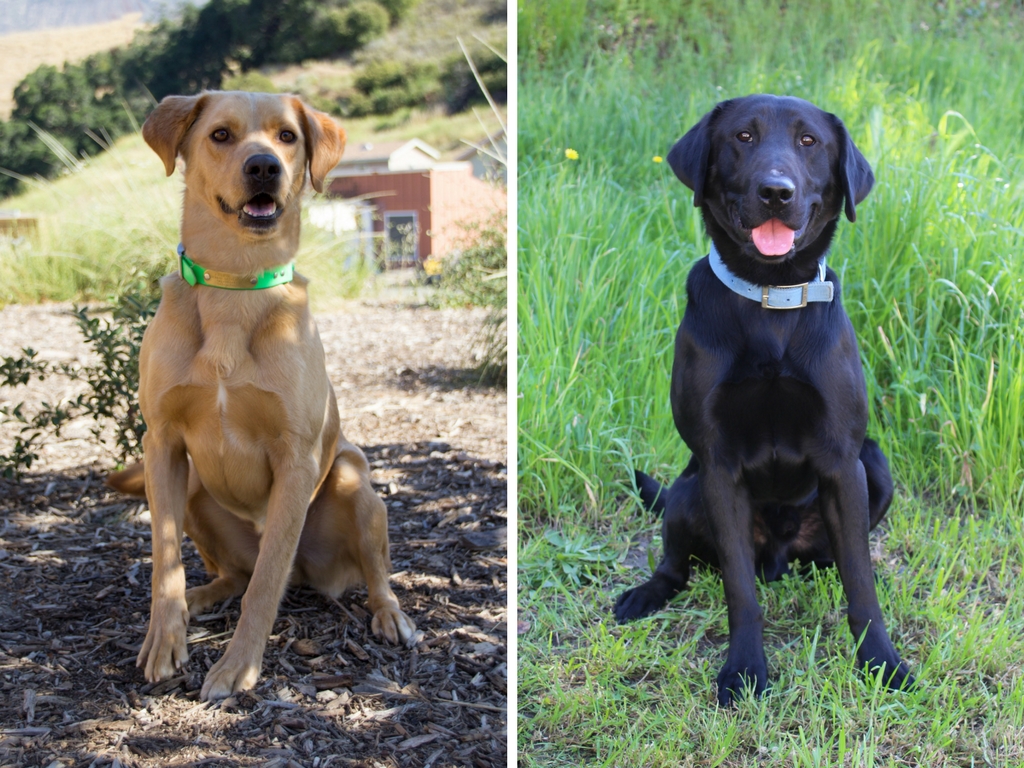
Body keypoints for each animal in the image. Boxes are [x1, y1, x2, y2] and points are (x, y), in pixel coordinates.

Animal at [108, 91, 415, 704]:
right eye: (221, 135)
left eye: (287, 136)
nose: (264, 167)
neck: (234, 287)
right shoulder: (163, 445)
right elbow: (164, 562)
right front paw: (164, 639)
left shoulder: (296, 457)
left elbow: (267, 583)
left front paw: (238, 666)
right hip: (194, 488)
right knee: (233, 575)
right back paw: (203, 596)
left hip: (352, 479)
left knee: (358, 573)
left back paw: (389, 614)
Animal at [610, 96, 917, 708]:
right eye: (743, 137)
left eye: (809, 142)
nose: (776, 191)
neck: (771, 299)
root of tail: (779, 557)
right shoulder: (718, 466)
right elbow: (740, 592)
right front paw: (745, 670)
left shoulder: (842, 461)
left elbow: (862, 586)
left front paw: (882, 663)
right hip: (687, 494)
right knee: (679, 566)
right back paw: (646, 594)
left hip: (875, 467)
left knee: (836, 559)